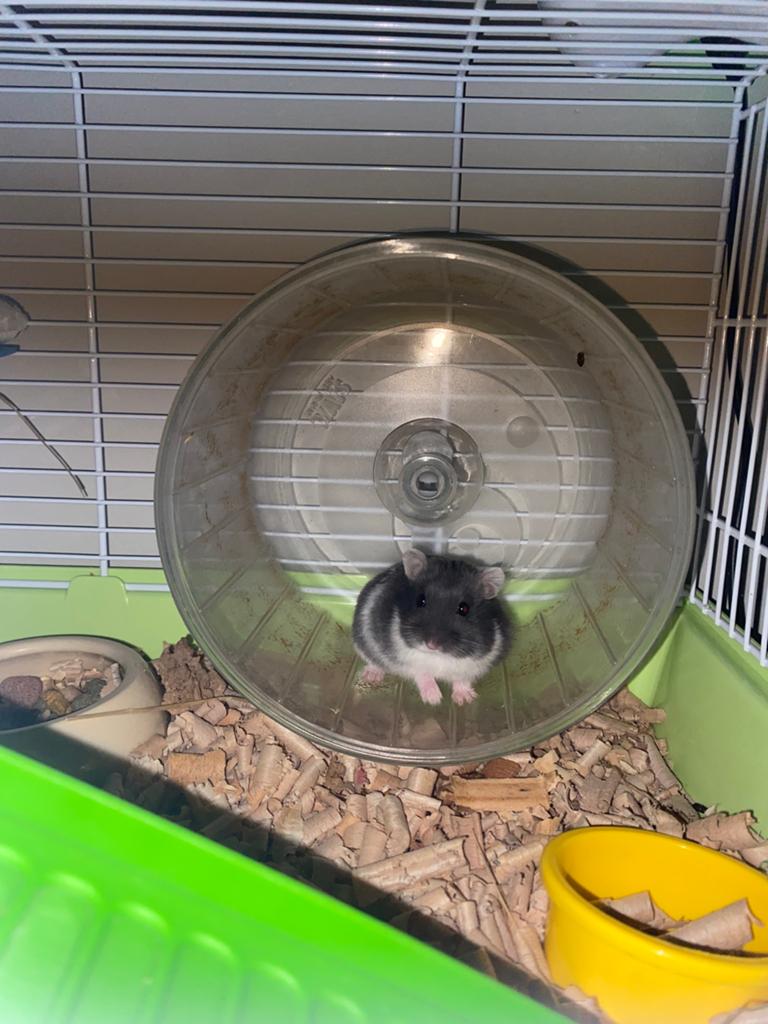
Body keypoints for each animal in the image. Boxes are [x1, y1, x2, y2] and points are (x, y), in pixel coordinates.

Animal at [352, 548, 511, 706]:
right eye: (421, 600)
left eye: (464, 609)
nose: (431, 644)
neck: (439, 656)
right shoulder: (408, 661)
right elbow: (423, 674)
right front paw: (434, 700)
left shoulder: (475, 664)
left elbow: (461, 679)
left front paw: (465, 700)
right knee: (374, 661)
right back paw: (371, 677)